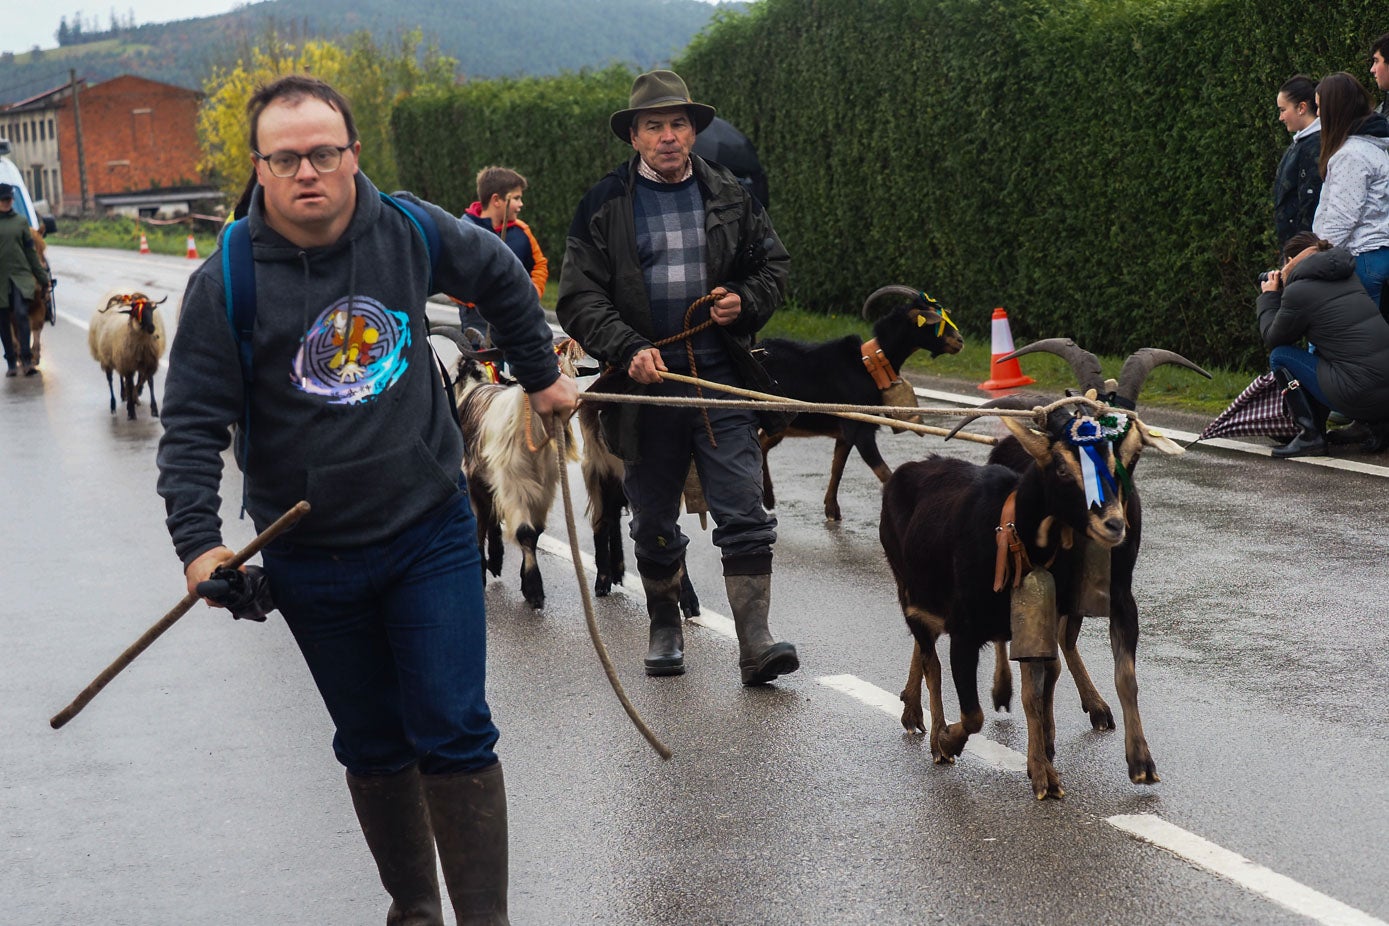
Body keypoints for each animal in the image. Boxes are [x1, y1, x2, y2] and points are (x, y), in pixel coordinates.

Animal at [87, 291, 165, 422]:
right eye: (136, 312)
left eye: (151, 310)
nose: (151, 328)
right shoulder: (127, 365)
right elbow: (129, 384)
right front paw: (131, 411)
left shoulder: (148, 363)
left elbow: (149, 383)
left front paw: (154, 410)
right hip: (108, 361)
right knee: (110, 381)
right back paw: (114, 406)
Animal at [761, 283, 966, 522]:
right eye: (933, 322)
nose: (959, 341)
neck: (869, 365)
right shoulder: (861, 430)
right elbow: (885, 472)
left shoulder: (846, 433)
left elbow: (837, 468)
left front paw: (832, 511)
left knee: (763, 442)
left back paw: (769, 499)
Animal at [961, 340, 1211, 788]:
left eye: (1133, 451)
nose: (1114, 521)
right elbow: (1041, 671)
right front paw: (1041, 752)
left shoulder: (1119, 594)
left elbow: (1124, 675)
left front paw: (1141, 761)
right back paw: (1003, 691)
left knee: (1066, 641)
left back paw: (1095, 707)